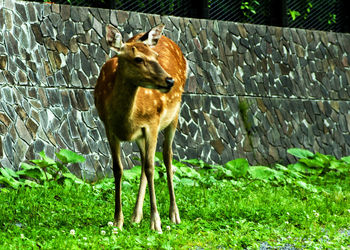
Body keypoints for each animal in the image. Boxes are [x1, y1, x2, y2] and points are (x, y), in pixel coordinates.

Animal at [92, 23, 186, 232]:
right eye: (138, 59)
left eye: (156, 56)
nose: (169, 81)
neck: (126, 118)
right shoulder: (109, 128)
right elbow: (118, 169)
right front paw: (118, 221)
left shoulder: (152, 123)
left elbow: (152, 168)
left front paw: (156, 223)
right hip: (141, 136)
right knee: (143, 162)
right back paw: (136, 215)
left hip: (174, 114)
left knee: (167, 156)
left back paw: (174, 215)